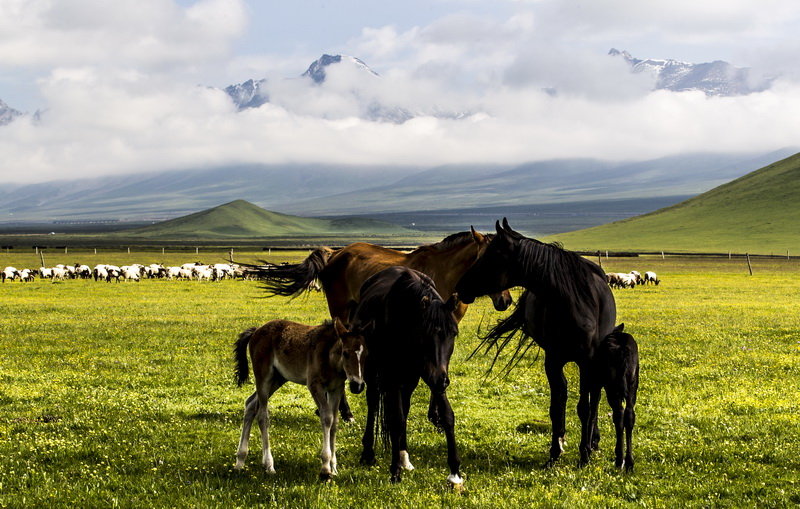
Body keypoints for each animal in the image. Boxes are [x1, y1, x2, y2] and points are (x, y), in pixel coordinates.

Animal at [231, 318, 368, 480]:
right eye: (345, 353)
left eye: (366, 354)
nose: (357, 385)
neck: (329, 357)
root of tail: (256, 330)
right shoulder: (315, 385)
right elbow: (327, 418)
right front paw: (325, 468)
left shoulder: (337, 388)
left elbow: (334, 422)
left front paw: (334, 467)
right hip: (263, 376)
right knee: (263, 416)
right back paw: (269, 465)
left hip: (278, 378)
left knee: (250, 404)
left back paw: (240, 461)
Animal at [350, 266, 462, 484]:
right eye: (426, 334)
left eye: (453, 333)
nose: (442, 380)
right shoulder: (393, 378)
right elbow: (395, 419)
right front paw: (394, 471)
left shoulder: (432, 375)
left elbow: (447, 415)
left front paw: (455, 472)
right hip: (374, 372)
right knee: (373, 402)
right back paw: (368, 454)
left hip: (410, 379)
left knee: (405, 409)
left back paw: (404, 457)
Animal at [454, 216, 616, 466]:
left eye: (491, 256)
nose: (461, 287)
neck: (572, 303)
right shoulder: (553, 360)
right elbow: (557, 405)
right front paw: (555, 452)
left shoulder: (586, 362)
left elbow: (585, 406)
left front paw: (584, 453)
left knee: (595, 398)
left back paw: (593, 441)